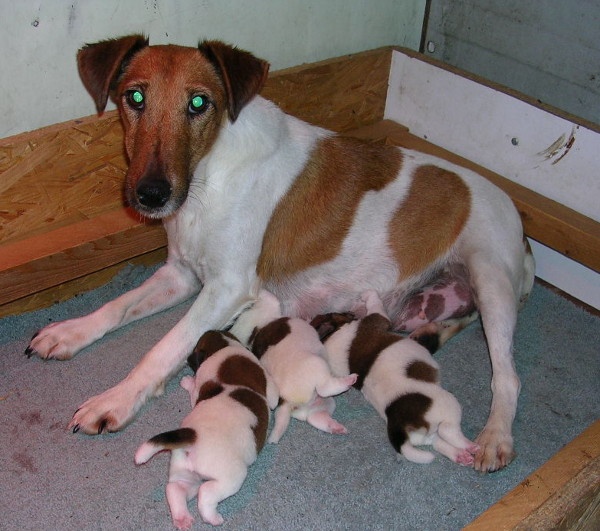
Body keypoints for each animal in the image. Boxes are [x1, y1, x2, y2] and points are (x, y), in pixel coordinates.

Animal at [135, 330, 278, 528]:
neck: (224, 346)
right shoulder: (270, 388)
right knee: (206, 492)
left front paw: (188, 382)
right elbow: (274, 398)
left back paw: (182, 518)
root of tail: (193, 436)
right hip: (230, 477)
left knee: (174, 488)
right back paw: (212, 517)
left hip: (185, 473)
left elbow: (195, 391)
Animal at [231, 288, 356, 442]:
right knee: (325, 388)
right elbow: (269, 297)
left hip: (320, 403)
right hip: (317, 366)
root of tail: (287, 401)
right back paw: (350, 380)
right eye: (341, 314)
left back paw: (334, 427)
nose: (353, 313)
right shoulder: (268, 306)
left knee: (314, 416)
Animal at [314, 290, 478, 466]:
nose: (350, 311)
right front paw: (368, 294)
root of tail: (399, 425)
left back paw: (461, 455)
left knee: (438, 442)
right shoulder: (378, 318)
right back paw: (471, 446)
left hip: (423, 436)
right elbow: (375, 304)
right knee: (448, 431)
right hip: (448, 405)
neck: (329, 338)